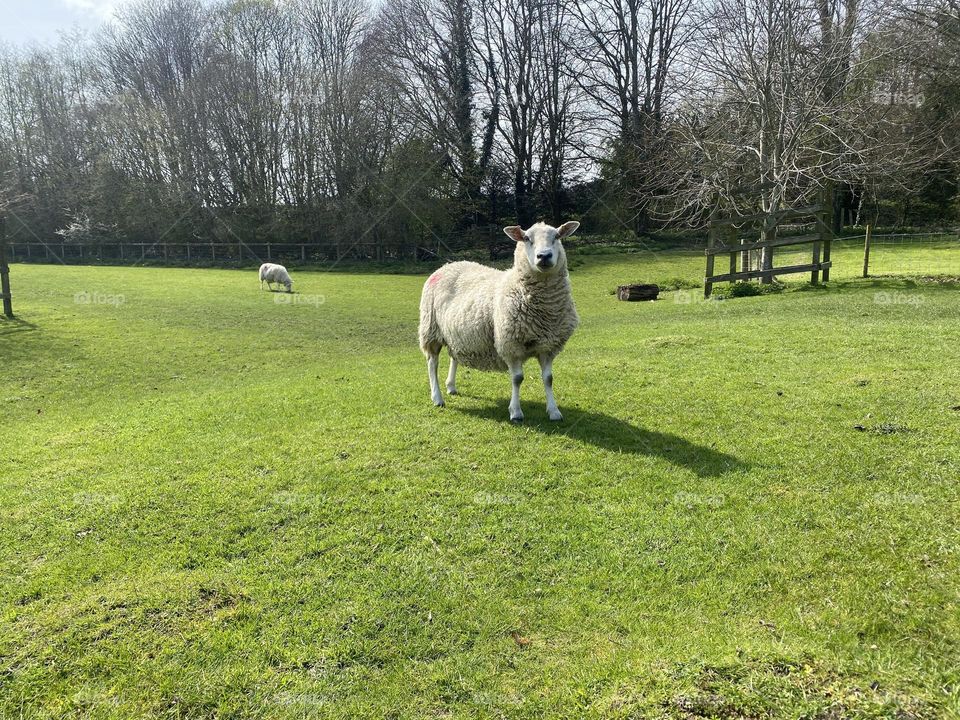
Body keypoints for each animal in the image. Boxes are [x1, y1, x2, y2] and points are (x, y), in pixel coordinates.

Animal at [418, 220, 580, 423]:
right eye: (527, 238)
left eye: (557, 236)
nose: (544, 256)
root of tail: (448, 265)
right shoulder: (510, 344)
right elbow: (517, 379)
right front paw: (516, 412)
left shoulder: (548, 346)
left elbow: (548, 379)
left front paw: (554, 411)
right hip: (431, 329)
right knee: (432, 363)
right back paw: (437, 397)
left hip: (455, 333)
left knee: (453, 356)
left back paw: (451, 386)